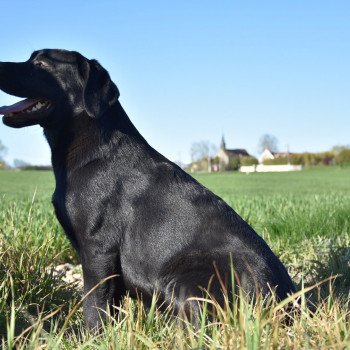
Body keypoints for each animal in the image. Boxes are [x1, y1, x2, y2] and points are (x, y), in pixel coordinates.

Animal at [0, 49, 296, 328]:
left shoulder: (98, 248)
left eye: (41, 63)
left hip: (181, 275)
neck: (93, 148)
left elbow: (93, 306)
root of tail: (286, 300)